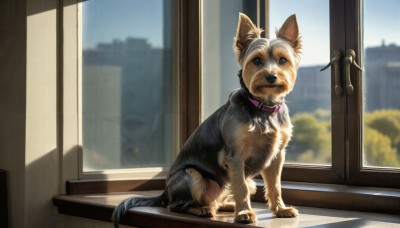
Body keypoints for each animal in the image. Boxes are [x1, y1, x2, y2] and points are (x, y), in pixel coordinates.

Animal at [111, 12, 300, 226]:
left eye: (282, 60)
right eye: (257, 60)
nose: (271, 76)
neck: (262, 107)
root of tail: (165, 192)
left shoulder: (277, 155)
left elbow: (275, 185)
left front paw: (280, 209)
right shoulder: (234, 156)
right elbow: (241, 187)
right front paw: (245, 214)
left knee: (218, 198)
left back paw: (226, 206)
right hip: (192, 176)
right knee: (178, 205)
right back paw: (203, 210)